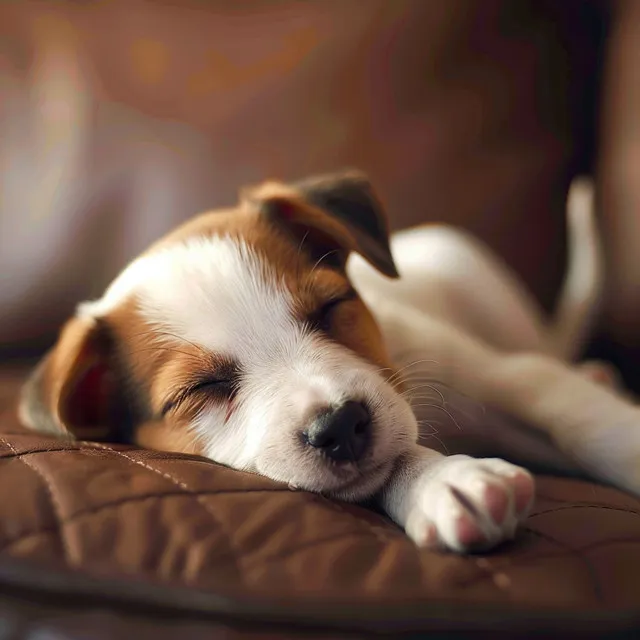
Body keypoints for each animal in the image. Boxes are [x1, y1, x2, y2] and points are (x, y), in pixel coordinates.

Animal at [17, 172, 636, 552]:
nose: (339, 425)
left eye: (332, 306)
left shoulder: (499, 376)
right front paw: (444, 480)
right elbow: (391, 464)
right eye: (202, 387)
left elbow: (578, 418)